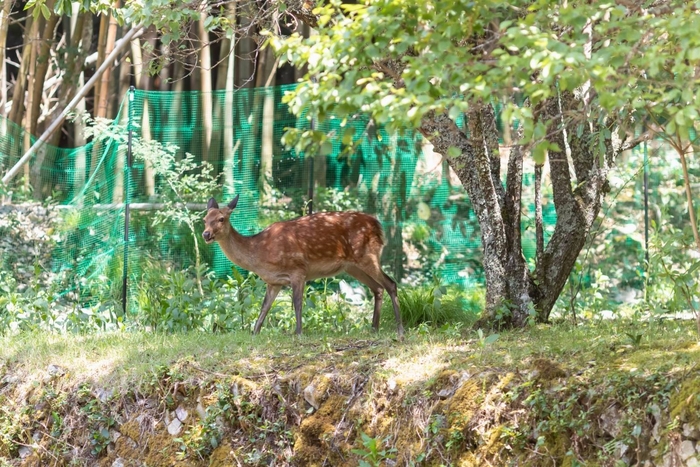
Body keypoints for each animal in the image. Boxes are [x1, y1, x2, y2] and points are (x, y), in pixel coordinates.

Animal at [202, 195, 404, 337]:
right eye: (204, 219)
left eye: (221, 218)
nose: (206, 234)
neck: (259, 253)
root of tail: (378, 225)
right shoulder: (273, 281)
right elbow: (264, 307)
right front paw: (254, 333)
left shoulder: (298, 270)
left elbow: (297, 303)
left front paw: (298, 333)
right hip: (352, 266)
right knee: (378, 288)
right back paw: (374, 328)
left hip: (367, 255)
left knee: (391, 283)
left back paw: (399, 328)